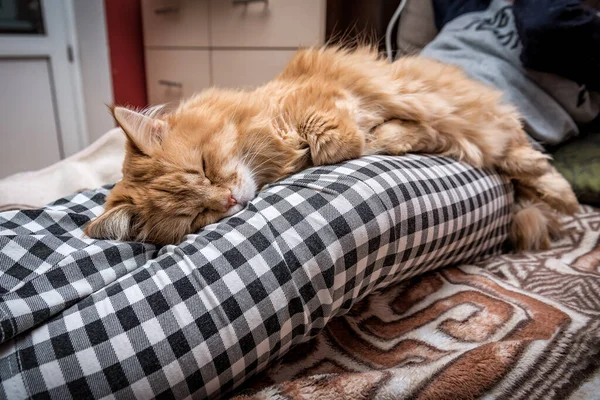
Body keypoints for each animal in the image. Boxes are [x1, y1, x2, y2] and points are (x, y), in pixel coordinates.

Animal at [84, 46, 576, 247]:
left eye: (204, 167)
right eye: (196, 216)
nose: (227, 200)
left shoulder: (319, 97)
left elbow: (333, 139)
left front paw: (377, 135)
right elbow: (348, 143)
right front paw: (388, 137)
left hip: (484, 121)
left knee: (524, 158)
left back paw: (563, 195)